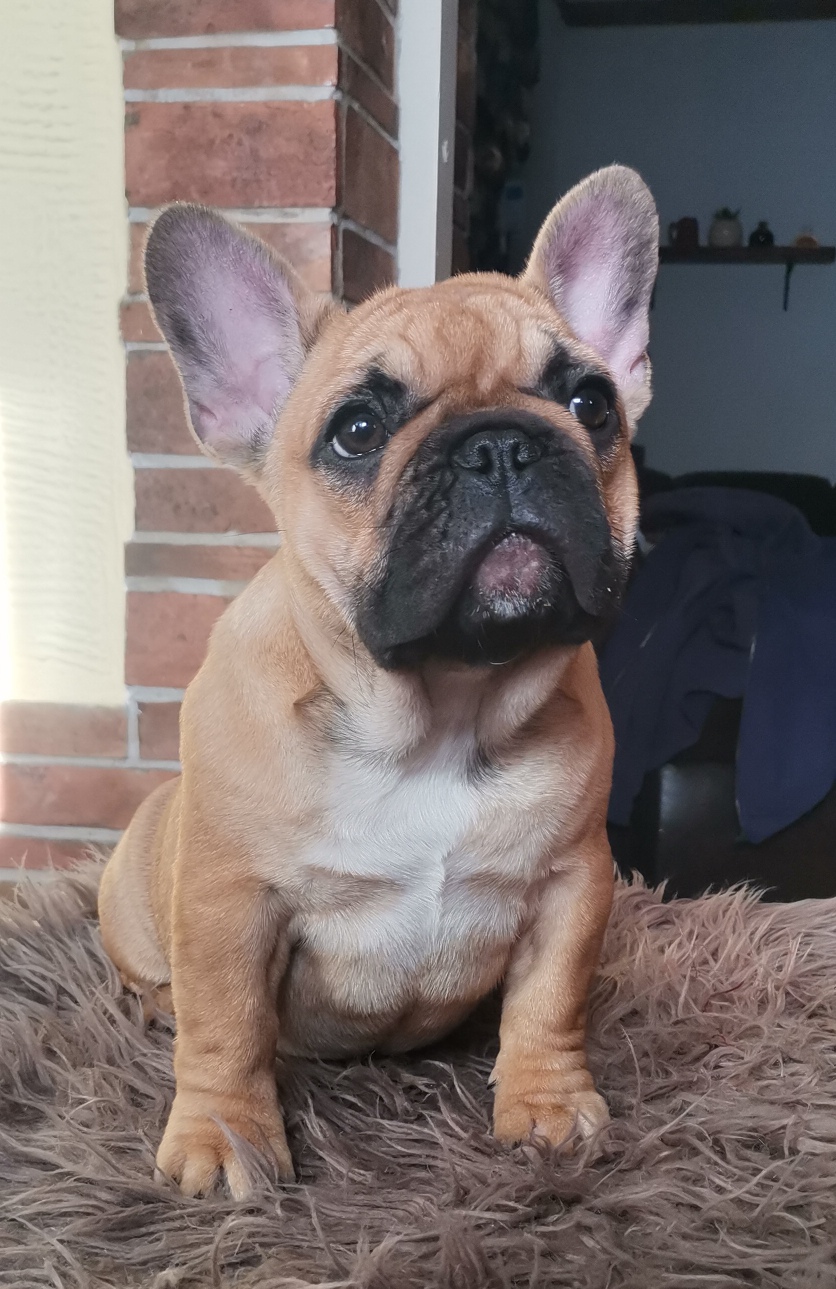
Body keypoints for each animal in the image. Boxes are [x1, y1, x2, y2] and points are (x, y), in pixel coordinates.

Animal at [98, 165, 659, 1199]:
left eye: (592, 403)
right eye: (356, 430)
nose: (501, 442)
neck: (438, 710)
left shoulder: (575, 882)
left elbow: (551, 1001)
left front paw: (548, 1105)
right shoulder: (227, 903)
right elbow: (228, 1026)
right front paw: (225, 1140)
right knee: (158, 987)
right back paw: (155, 1012)